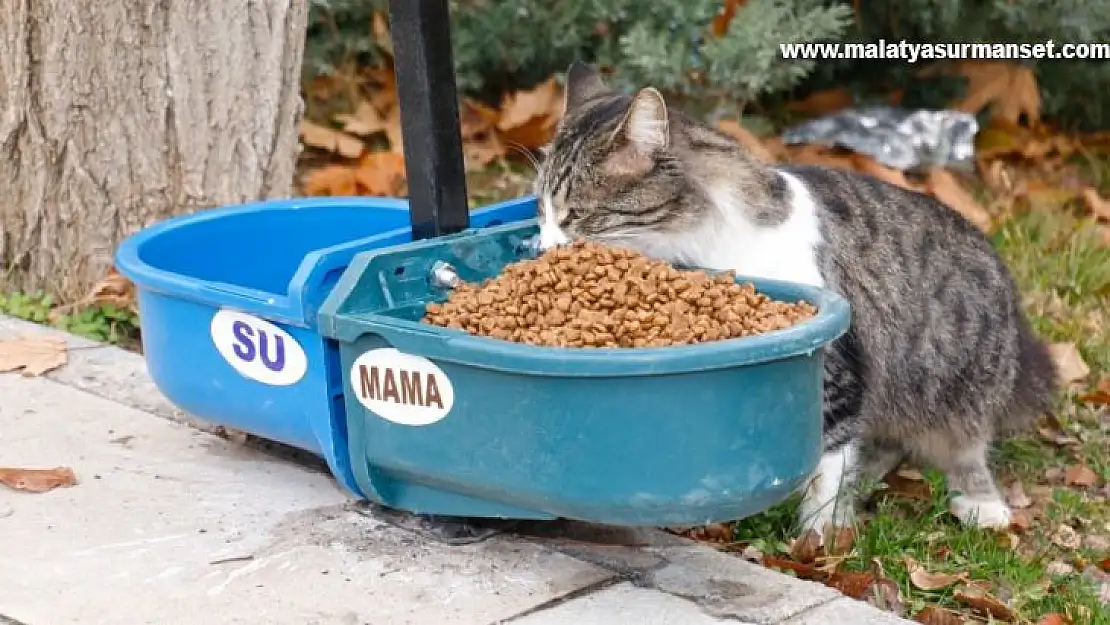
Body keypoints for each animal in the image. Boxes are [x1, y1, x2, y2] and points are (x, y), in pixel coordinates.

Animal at [532, 63, 1052, 539]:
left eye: (576, 214)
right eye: (539, 209)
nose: (543, 249)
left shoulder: (840, 369)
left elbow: (828, 464)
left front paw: (818, 540)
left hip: (958, 383)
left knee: (965, 444)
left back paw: (982, 504)